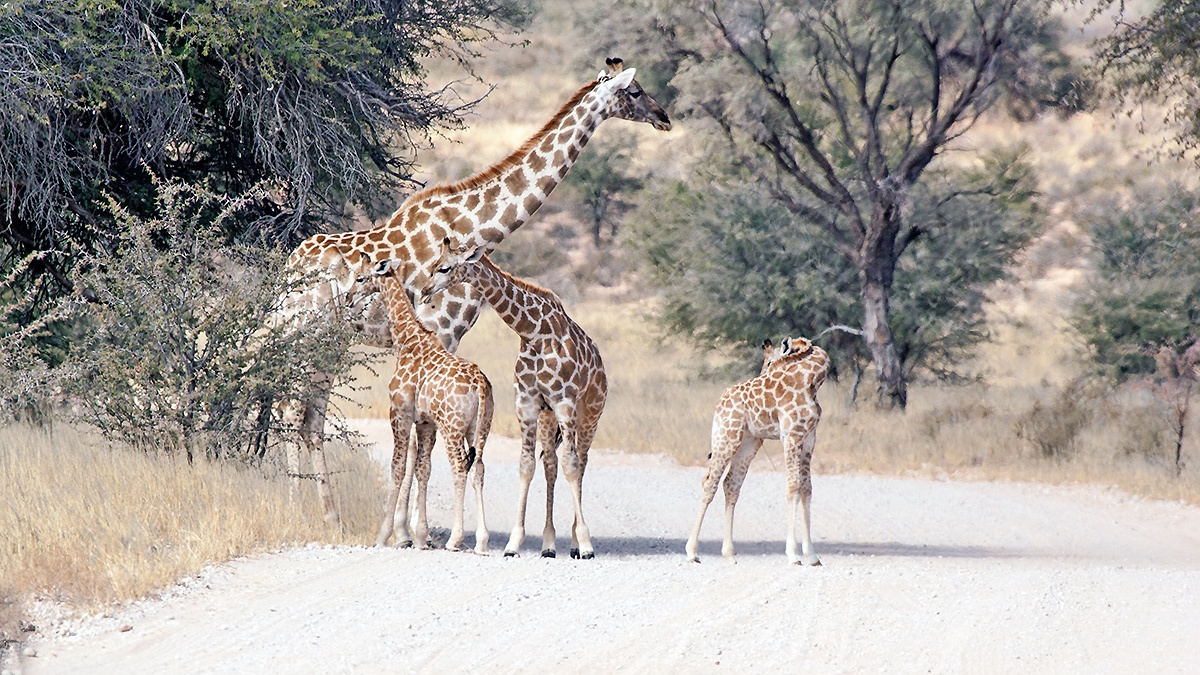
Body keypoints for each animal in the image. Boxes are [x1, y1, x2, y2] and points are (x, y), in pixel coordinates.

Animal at [355, 255, 495, 553]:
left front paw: (384, 536)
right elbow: (423, 469)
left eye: (361, 277)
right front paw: (419, 536)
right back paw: (481, 541)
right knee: (478, 468)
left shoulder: (400, 412)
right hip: (479, 427)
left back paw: (455, 539)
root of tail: (479, 382)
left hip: (452, 427)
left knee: (459, 467)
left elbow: (398, 468)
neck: (407, 340)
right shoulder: (426, 422)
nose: (349, 296)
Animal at [422, 240, 607, 559]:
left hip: (590, 413)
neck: (534, 333)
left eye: (444, 268)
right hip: (549, 418)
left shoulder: (565, 402)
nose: (423, 291)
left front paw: (585, 545)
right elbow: (527, 465)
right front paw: (512, 543)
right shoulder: (528, 403)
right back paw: (548, 545)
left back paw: (574, 543)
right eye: (432, 264)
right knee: (551, 464)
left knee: (580, 462)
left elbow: (572, 466)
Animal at [685, 336, 829, 566]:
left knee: (731, 485)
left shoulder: (808, 440)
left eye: (769, 362)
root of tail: (721, 401)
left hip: (747, 444)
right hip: (726, 437)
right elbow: (793, 487)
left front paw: (813, 555)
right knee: (710, 483)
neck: (810, 382)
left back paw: (729, 553)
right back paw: (692, 552)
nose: (762, 375)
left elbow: (807, 489)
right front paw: (793, 554)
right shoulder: (791, 437)